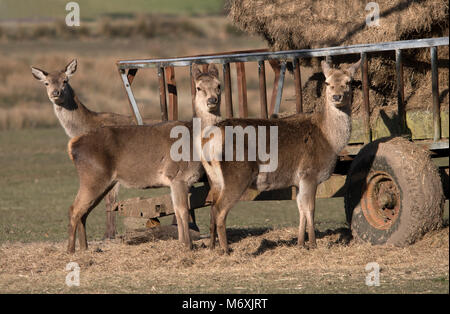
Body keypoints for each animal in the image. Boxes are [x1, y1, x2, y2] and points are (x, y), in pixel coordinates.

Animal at [29, 60, 195, 239]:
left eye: (65, 80)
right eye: (46, 83)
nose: (55, 93)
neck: (85, 126)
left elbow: (110, 200)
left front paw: (109, 234)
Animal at [64, 63, 221, 253]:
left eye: (219, 85)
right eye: (198, 87)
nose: (212, 100)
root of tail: (72, 145)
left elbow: (177, 210)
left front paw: (183, 243)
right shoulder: (176, 175)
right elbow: (182, 210)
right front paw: (187, 245)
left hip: (103, 182)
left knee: (83, 212)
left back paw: (85, 248)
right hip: (93, 176)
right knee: (74, 209)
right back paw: (71, 250)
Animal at [200, 59, 362, 254]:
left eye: (348, 82)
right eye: (328, 82)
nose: (337, 97)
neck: (329, 140)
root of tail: (209, 138)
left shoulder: (298, 181)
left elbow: (301, 209)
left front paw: (300, 243)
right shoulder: (310, 173)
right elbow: (310, 209)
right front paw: (313, 244)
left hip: (214, 178)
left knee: (211, 207)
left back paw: (212, 247)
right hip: (237, 175)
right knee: (219, 209)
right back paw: (226, 250)